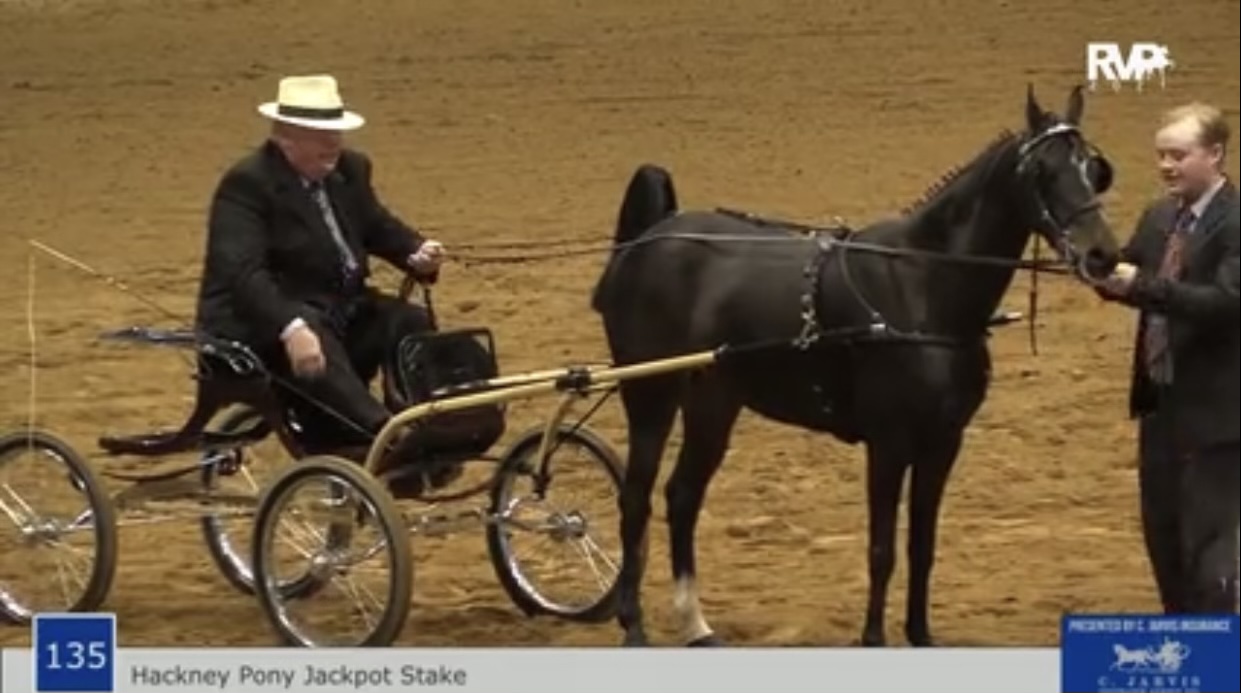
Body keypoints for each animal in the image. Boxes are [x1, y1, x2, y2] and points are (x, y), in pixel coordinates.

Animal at [589, 84, 1122, 647]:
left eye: (1093, 168)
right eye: (1042, 170)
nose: (1102, 254)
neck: (923, 288)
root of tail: (648, 238)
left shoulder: (943, 441)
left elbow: (922, 547)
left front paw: (920, 635)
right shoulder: (889, 442)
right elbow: (882, 550)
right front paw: (874, 637)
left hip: (713, 402)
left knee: (682, 495)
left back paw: (695, 623)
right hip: (649, 395)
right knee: (636, 499)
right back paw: (633, 624)